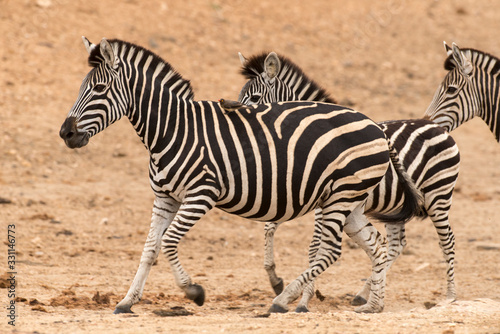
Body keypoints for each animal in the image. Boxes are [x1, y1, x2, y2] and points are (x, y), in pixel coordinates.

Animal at [59, 37, 426, 314]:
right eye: (82, 87)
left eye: (99, 88)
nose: (66, 133)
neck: (172, 129)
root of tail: (375, 126)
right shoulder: (164, 197)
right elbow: (150, 247)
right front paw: (126, 301)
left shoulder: (201, 194)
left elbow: (169, 241)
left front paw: (194, 292)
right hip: (350, 201)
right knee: (376, 246)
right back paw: (373, 304)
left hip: (340, 196)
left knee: (331, 250)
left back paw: (284, 299)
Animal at [237, 51, 460, 312]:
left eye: (254, 98)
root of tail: (438, 127)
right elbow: (271, 227)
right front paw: (276, 280)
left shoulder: (323, 201)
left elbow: (314, 247)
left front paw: (301, 300)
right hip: (396, 207)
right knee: (396, 245)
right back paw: (366, 294)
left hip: (439, 196)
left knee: (447, 241)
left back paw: (450, 295)